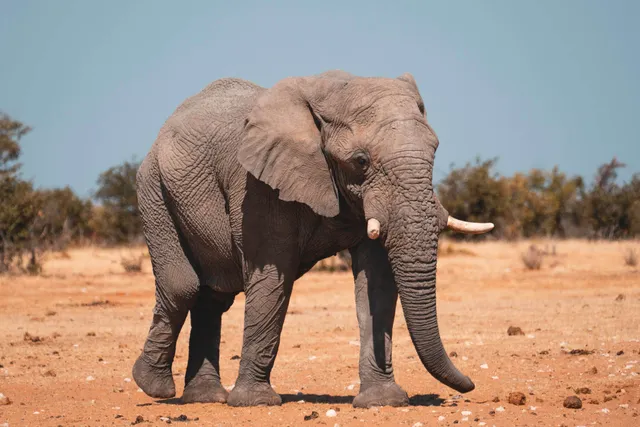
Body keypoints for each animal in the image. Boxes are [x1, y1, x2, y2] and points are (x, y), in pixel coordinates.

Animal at [132, 70, 494, 408]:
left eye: (435, 150)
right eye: (361, 161)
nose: (470, 385)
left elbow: (376, 283)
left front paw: (383, 401)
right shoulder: (258, 184)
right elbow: (271, 277)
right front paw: (256, 402)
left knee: (213, 297)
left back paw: (204, 397)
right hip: (153, 189)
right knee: (183, 287)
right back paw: (153, 386)